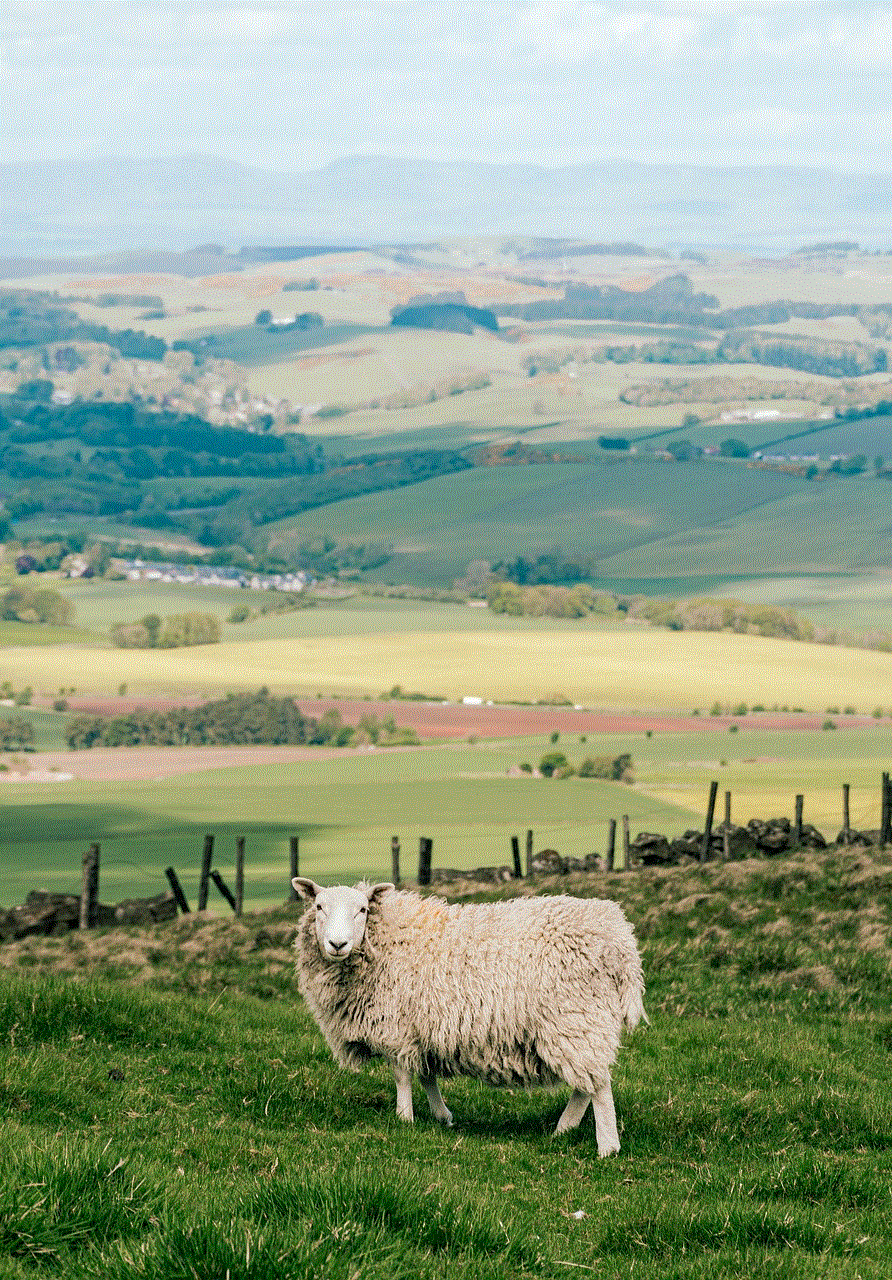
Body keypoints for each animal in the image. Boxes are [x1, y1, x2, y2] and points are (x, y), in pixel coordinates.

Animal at [291, 875, 647, 1157]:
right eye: (319, 907)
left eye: (363, 910)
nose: (338, 943)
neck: (386, 941)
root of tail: (621, 940)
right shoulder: (423, 1028)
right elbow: (426, 1075)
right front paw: (442, 1116)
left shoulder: (396, 1027)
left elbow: (402, 1075)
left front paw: (404, 1118)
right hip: (582, 1023)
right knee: (588, 1083)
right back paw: (564, 1129)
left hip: (576, 1017)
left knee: (599, 1085)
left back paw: (607, 1147)